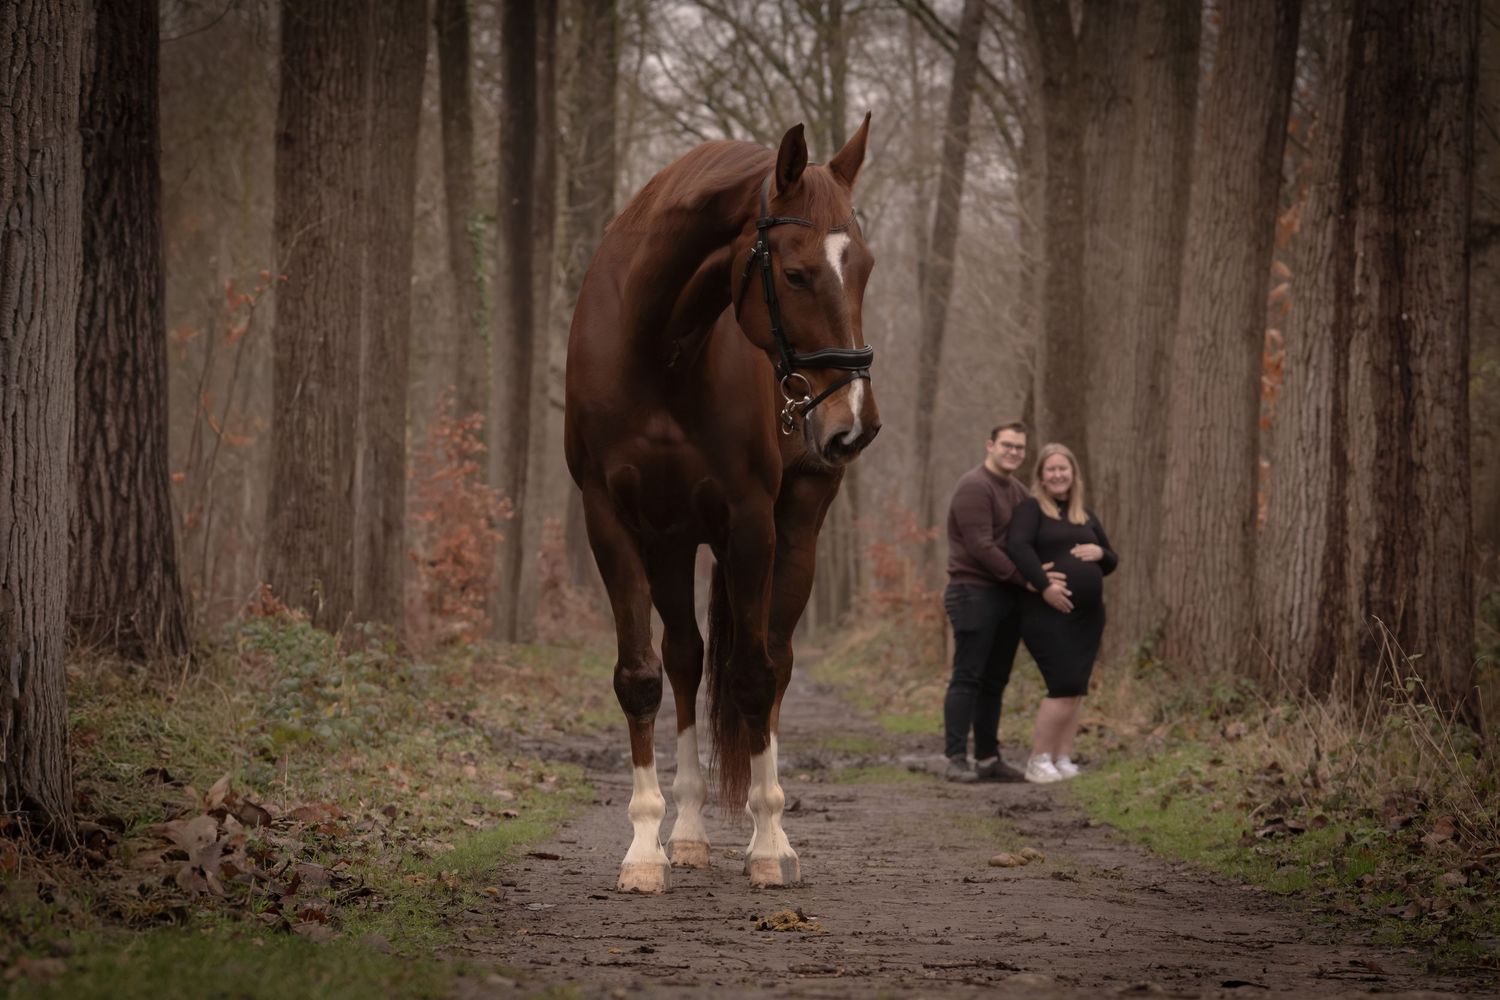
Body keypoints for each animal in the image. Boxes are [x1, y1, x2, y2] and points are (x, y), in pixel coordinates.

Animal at [563, 116, 880, 893]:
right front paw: (645, 849)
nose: (854, 424)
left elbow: (753, 676)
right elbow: (642, 676)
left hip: (795, 530)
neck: (659, 352)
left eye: (864, 268)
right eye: (795, 274)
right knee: (685, 659)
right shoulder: (613, 520)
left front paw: (766, 842)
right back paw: (688, 832)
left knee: (774, 660)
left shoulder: (749, 521)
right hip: (674, 542)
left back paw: (773, 834)